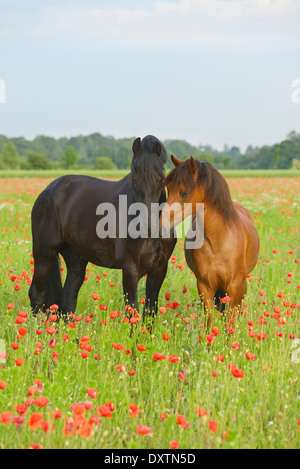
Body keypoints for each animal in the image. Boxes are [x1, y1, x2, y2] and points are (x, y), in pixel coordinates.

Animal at [28, 135, 176, 322]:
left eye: (161, 179)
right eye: (134, 179)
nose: (147, 224)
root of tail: (48, 190)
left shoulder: (159, 269)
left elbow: (150, 312)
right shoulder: (130, 269)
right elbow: (132, 311)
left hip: (75, 258)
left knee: (68, 298)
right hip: (44, 253)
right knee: (37, 294)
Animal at [159, 155, 260, 328]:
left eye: (184, 192)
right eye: (168, 189)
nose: (161, 225)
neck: (218, 241)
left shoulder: (234, 286)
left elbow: (230, 321)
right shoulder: (204, 286)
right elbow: (210, 321)